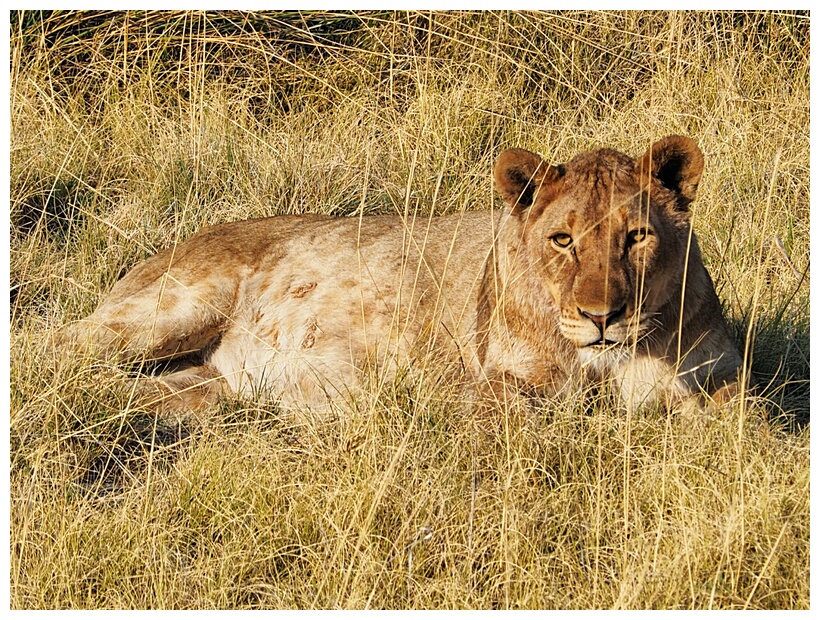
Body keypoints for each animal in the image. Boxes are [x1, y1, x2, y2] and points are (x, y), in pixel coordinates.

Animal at [57, 135, 748, 412]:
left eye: (636, 237)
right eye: (562, 240)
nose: (603, 317)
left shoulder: (721, 377)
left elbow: (749, 426)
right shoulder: (492, 386)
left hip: (199, 392)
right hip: (173, 309)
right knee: (60, 345)